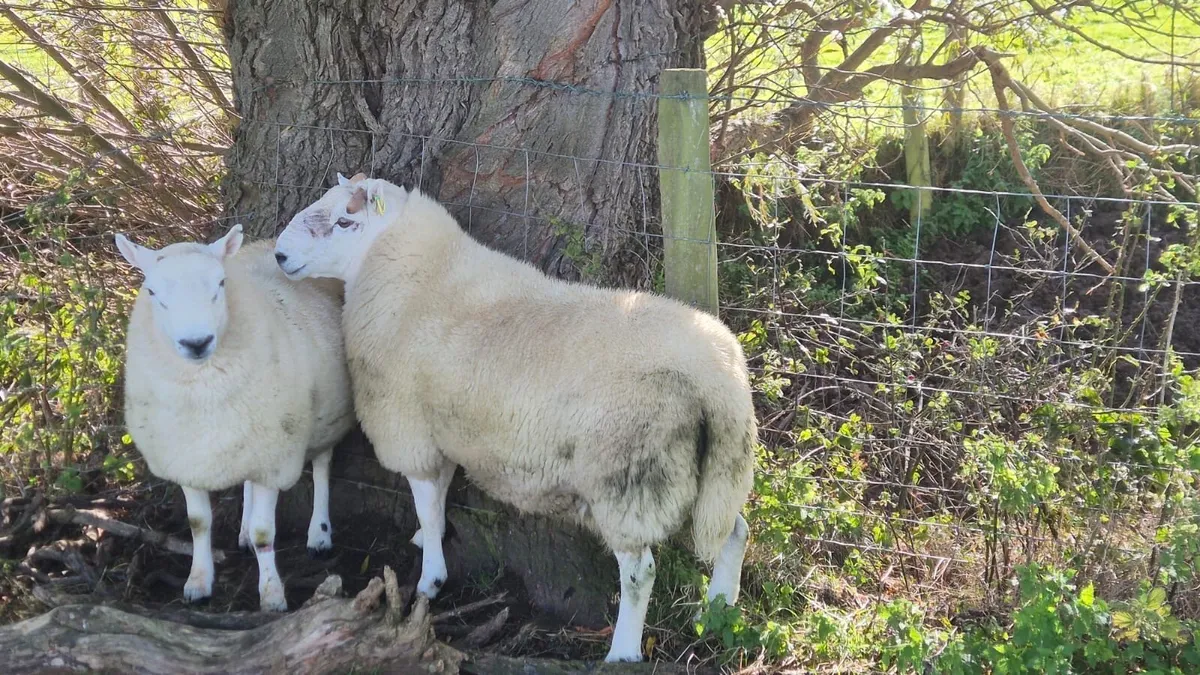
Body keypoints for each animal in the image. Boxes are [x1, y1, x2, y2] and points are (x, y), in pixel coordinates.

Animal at [115, 225, 354, 611]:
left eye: (221, 283)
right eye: (152, 292)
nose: (197, 342)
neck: (204, 391)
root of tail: (270, 243)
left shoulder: (274, 456)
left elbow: (264, 532)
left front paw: (272, 595)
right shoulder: (188, 459)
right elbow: (198, 523)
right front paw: (198, 582)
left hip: (325, 415)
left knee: (321, 466)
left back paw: (318, 534)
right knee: (246, 483)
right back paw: (242, 530)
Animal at [273, 173, 756, 662]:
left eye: (344, 221)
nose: (279, 255)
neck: (416, 275)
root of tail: (719, 374)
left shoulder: (410, 428)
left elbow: (426, 503)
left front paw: (430, 579)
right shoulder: (443, 427)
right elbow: (439, 496)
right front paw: (427, 539)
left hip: (627, 477)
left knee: (641, 572)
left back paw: (623, 651)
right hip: (719, 470)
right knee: (734, 529)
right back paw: (720, 605)